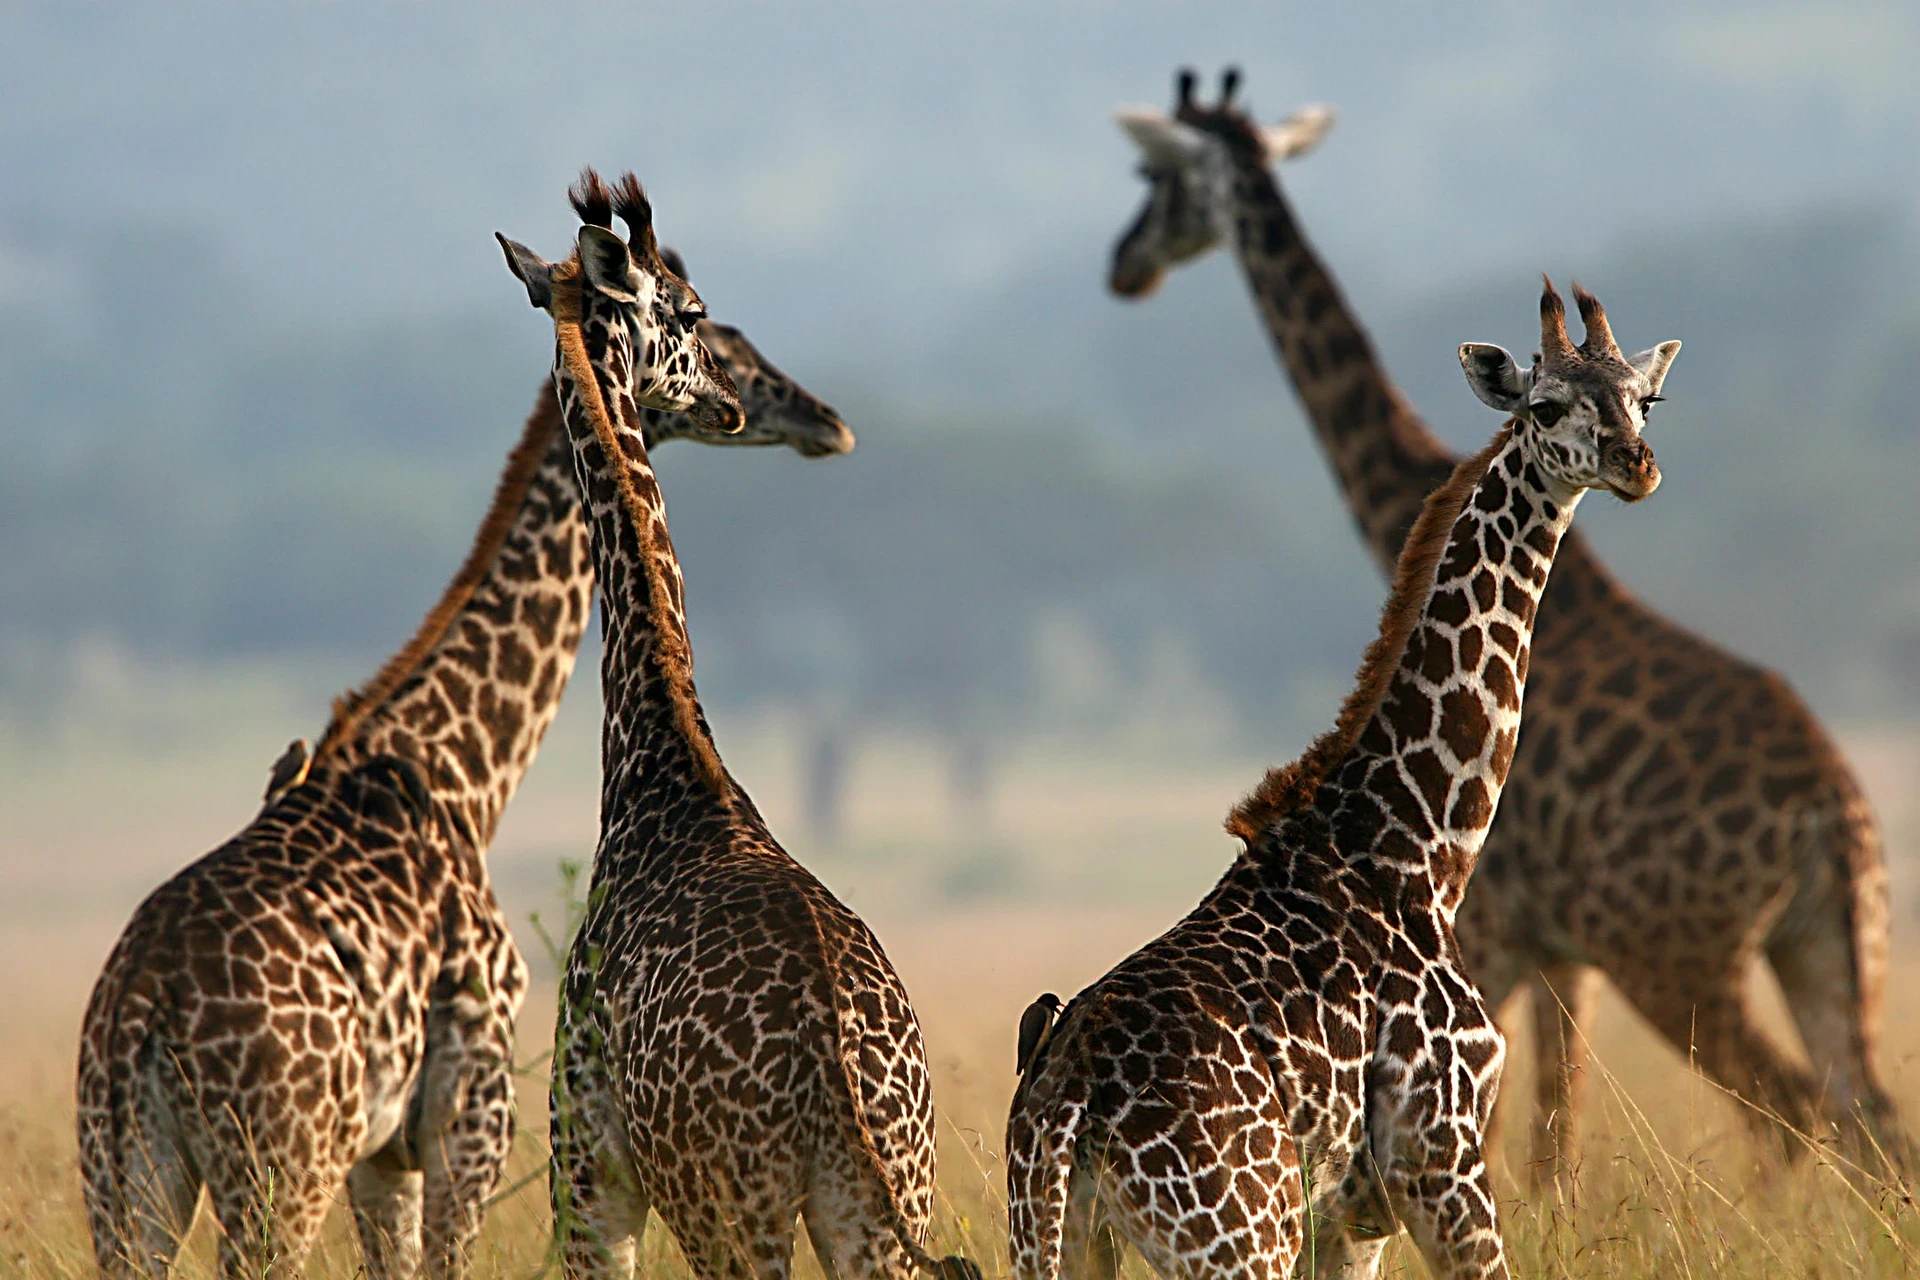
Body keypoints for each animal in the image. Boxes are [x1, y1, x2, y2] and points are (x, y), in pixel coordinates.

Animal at [77, 229, 854, 1279]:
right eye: (713, 330)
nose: (824, 421)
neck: (466, 769)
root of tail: (139, 1009)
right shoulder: (469, 1107)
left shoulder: (382, 1152)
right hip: (277, 1166)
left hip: (124, 1171)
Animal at [496, 170, 977, 1280]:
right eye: (696, 317)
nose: (726, 399)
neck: (662, 758)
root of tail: (840, 1075)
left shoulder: (587, 1173)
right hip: (880, 1202)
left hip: (725, 1204)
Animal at [1006, 281, 1675, 1280]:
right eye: (1547, 405)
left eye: (1645, 398)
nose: (1637, 466)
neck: (1419, 842)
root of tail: (1067, 1107)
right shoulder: (1440, 1165)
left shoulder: (1353, 1217)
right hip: (1239, 1237)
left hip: (1062, 1237)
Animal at [1107, 67, 1906, 1186]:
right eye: (1552, 404)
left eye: (1157, 179)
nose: (1124, 264)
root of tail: (1833, 812)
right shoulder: (1556, 947)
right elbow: (1551, 1143)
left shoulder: (1497, 927)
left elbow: (1523, 1143)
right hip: (1830, 941)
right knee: (1869, 1118)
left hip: (1679, 951)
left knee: (1792, 1113)